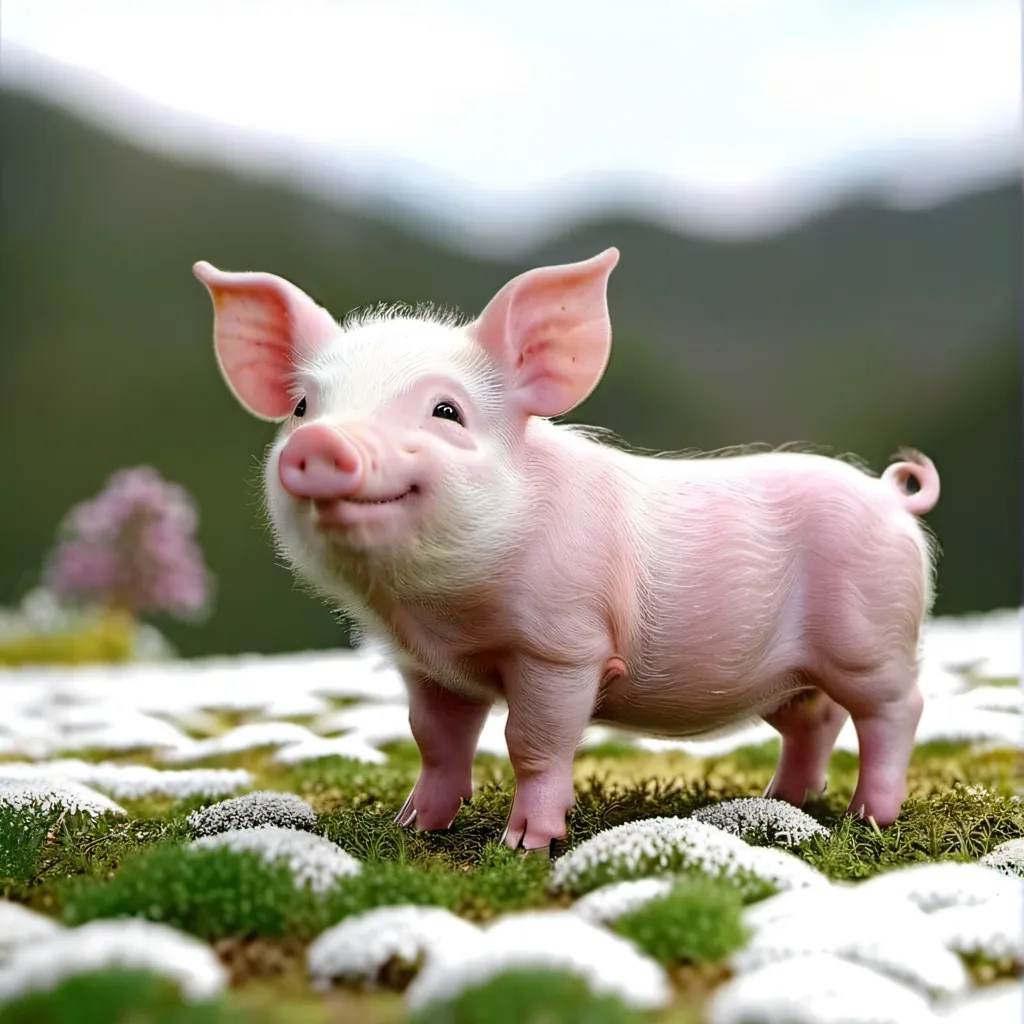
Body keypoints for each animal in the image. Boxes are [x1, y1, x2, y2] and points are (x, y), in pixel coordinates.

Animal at [193, 247, 941, 853]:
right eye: (301, 408)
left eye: (446, 412)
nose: (320, 442)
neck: (439, 614)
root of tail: (891, 497)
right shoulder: (428, 667)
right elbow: (434, 741)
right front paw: (414, 827)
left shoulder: (563, 645)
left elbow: (531, 743)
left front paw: (526, 844)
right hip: (792, 672)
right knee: (814, 719)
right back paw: (781, 801)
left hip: (870, 636)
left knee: (896, 710)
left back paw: (869, 817)